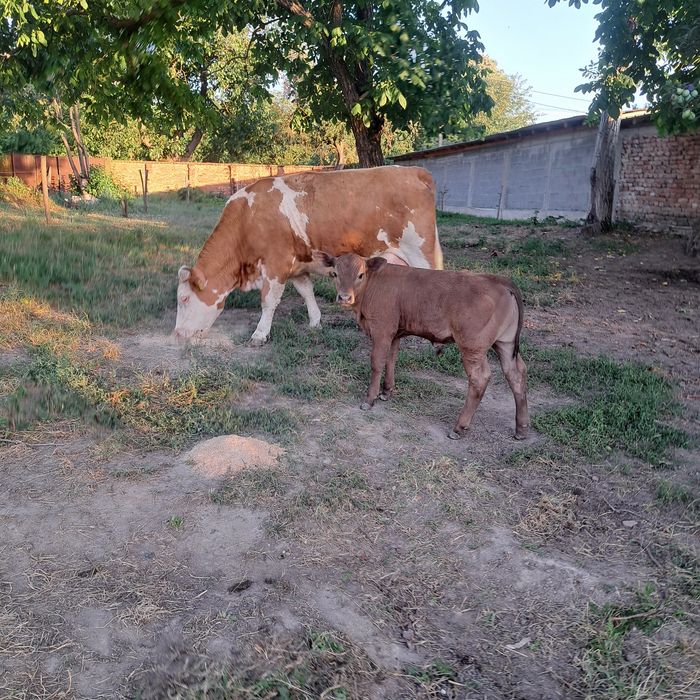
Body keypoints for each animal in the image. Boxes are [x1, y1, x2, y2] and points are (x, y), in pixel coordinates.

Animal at [174, 166, 443, 346]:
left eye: (184, 299)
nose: (176, 333)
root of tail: (415, 171)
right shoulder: (298, 266)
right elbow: (306, 293)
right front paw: (315, 322)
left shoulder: (276, 264)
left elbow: (268, 301)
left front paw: (260, 334)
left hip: (420, 252)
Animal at [320, 252, 529, 441]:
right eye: (334, 274)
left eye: (360, 275)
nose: (344, 297)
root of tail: (499, 280)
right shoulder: (394, 333)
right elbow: (391, 359)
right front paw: (386, 392)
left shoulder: (382, 329)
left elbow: (377, 362)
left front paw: (369, 399)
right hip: (505, 343)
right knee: (516, 373)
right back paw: (521, 429)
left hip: (472, 347)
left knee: (480, 379)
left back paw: (458, 427)